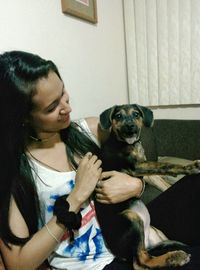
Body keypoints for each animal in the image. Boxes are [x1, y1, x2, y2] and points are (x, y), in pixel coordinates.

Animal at [94, 104, 200, 270]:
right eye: (118, 116)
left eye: (136, 114)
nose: (130, 127)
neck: (130, 143)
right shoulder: (137, 166)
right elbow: (165, 165)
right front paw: (191, 167)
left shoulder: (147, 172)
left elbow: (164, 181)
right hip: (131, 217)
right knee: (141, 262)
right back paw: (175, 257)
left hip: (157, 233)